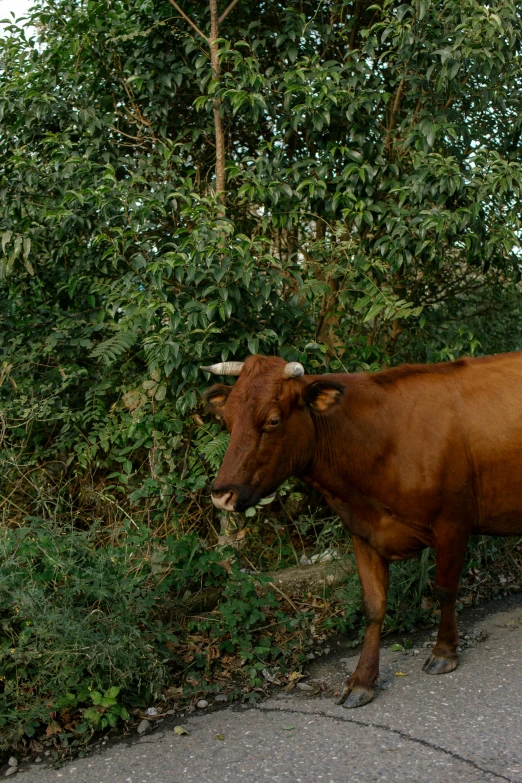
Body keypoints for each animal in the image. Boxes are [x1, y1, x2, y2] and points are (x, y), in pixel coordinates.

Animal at [201, 356, 520, 712]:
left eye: (272, 420)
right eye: (228, 418)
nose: (221, 494)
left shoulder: (453, 523)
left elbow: (444, 590)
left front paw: (444, 652)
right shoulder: (364, 532)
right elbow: (373, 606)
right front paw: (362, 680)